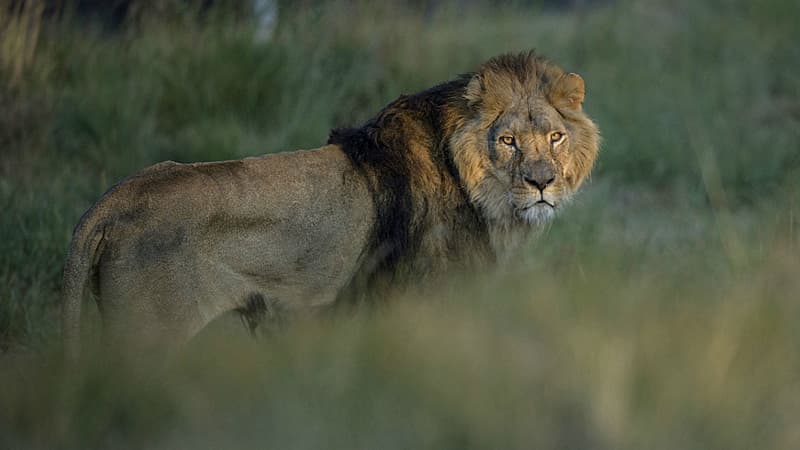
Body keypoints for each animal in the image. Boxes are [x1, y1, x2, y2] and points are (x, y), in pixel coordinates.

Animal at [62, 50, 596, 358]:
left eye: (555, 137)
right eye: (507, 141)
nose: (542, 182)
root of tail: (113, 201)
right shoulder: (420, 299)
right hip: (146, 337)